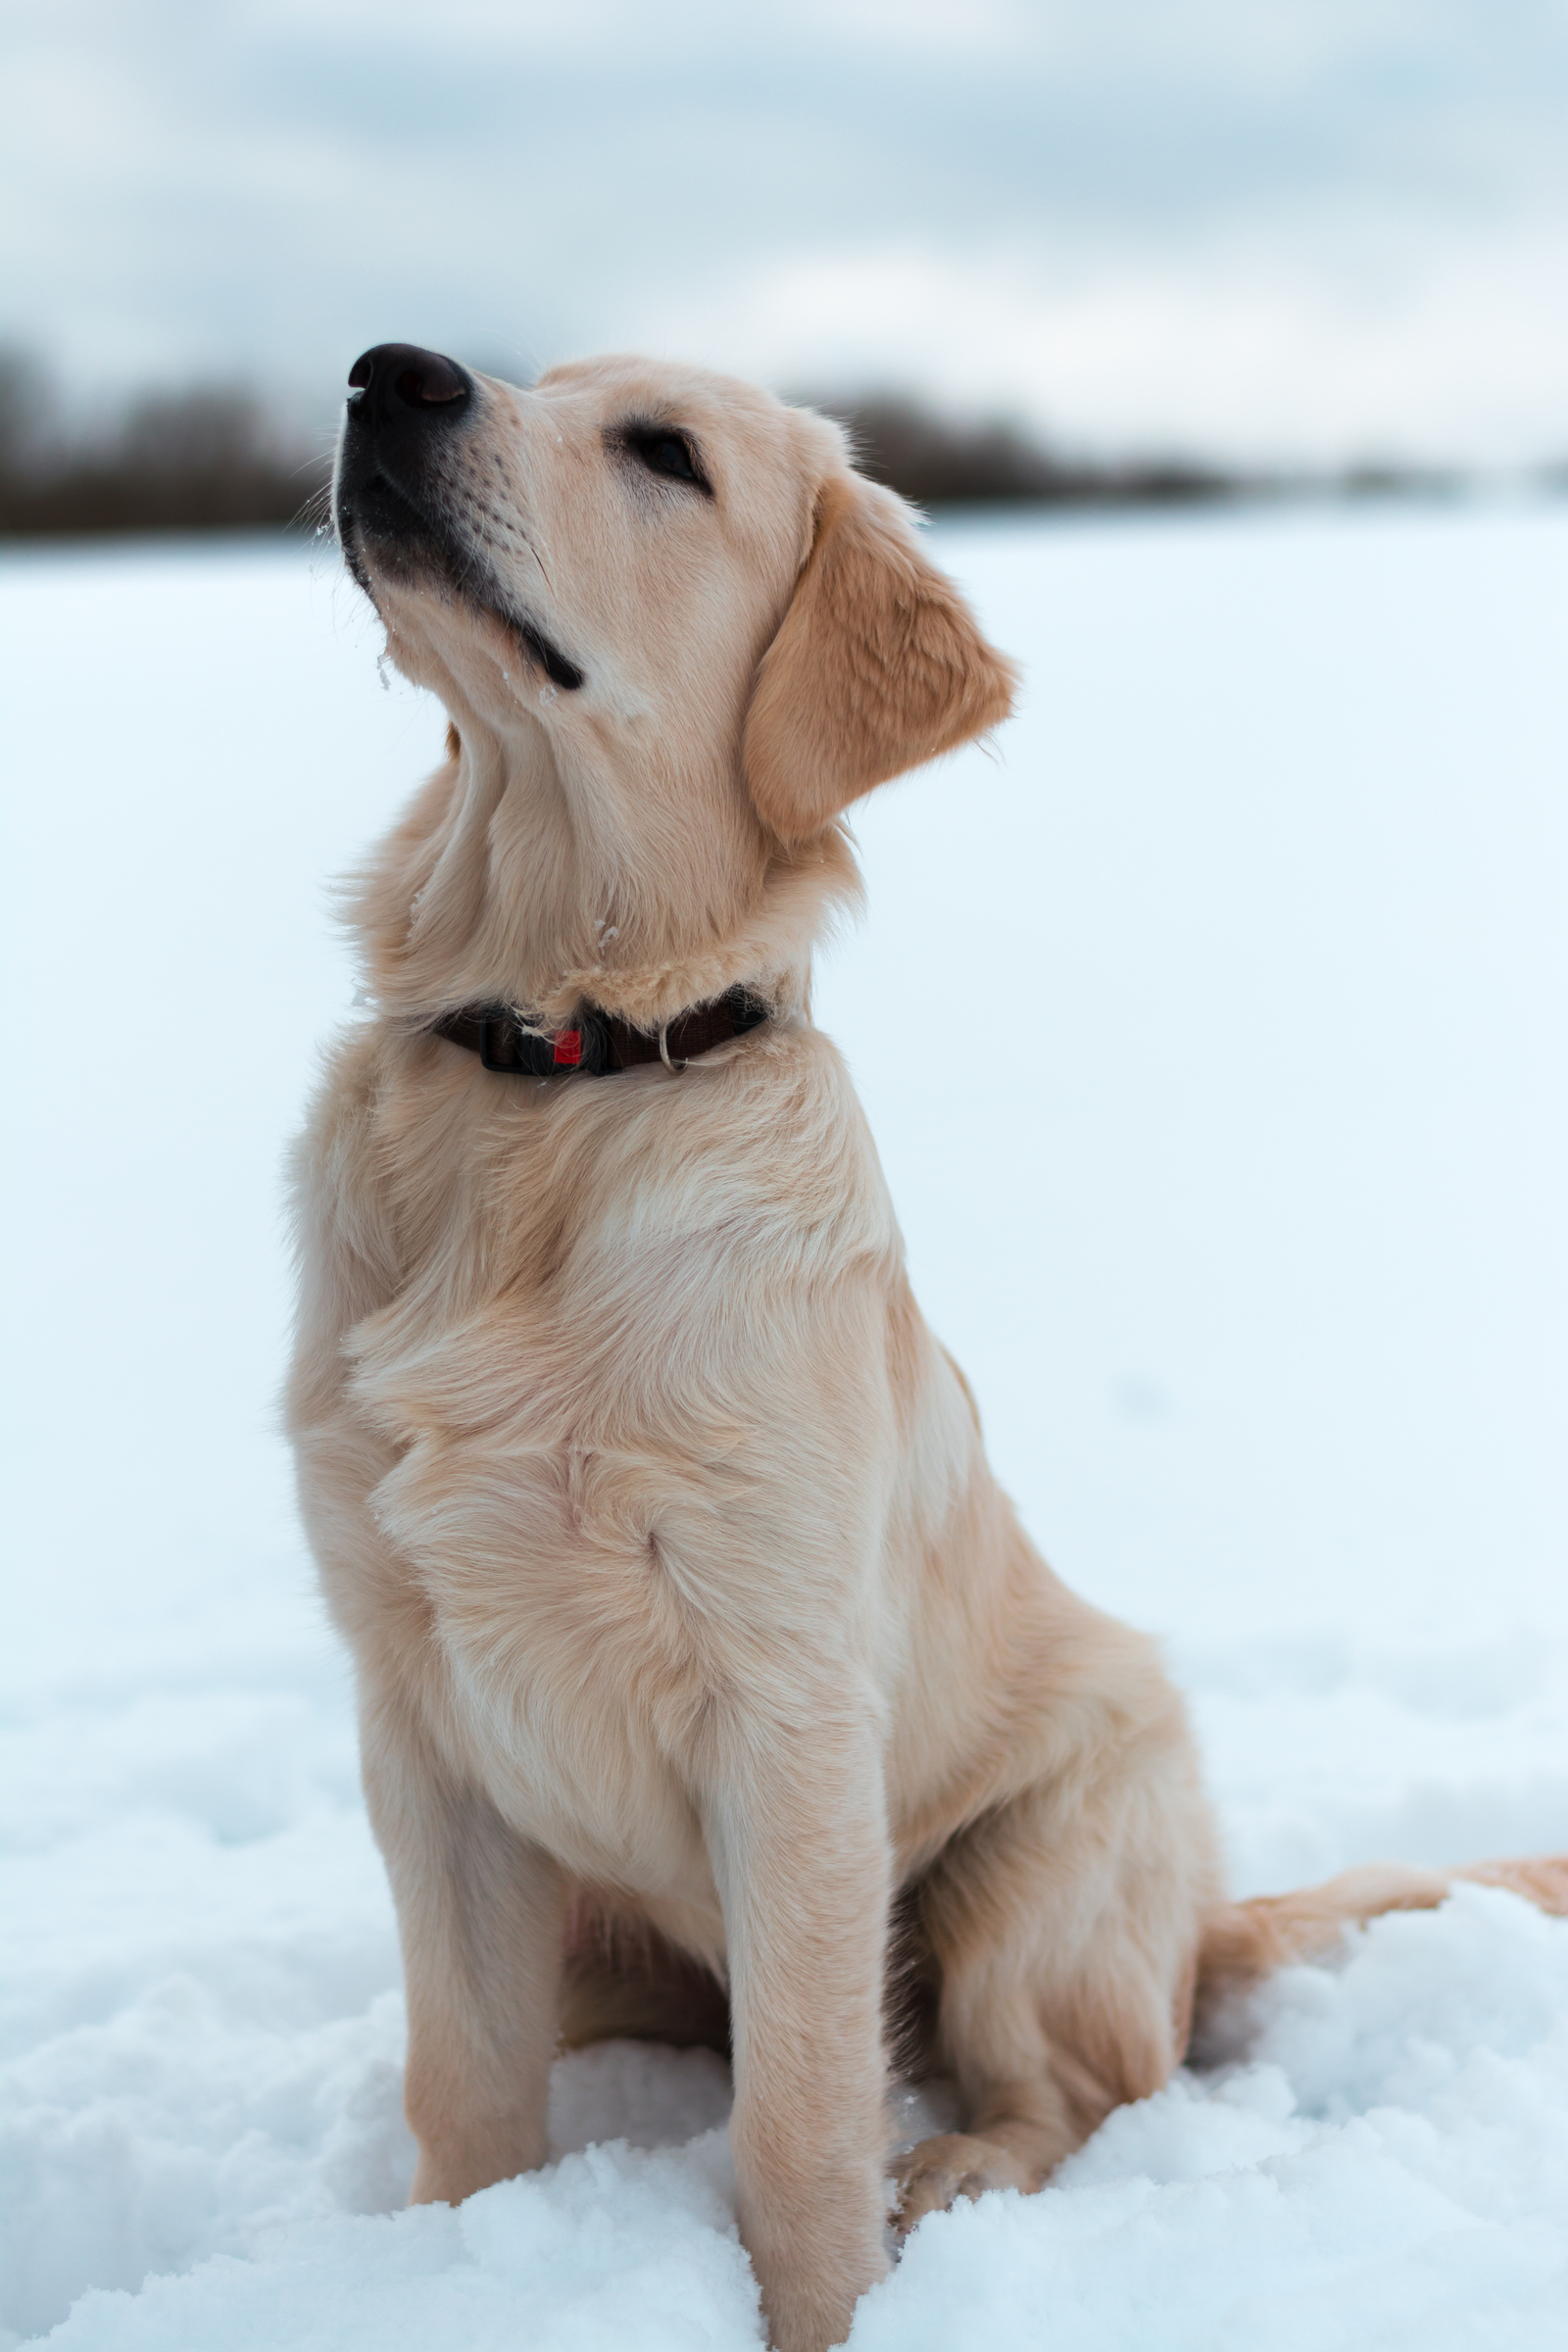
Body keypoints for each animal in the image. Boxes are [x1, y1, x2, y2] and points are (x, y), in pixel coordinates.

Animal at [285, 343, 1568, 2352]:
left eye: (664, 453)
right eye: (527, 376)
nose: (386, 374)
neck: (560, 1073)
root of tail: (1195, 1919)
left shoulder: (791, 1707)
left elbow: (804, 2118)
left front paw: (825, 2310)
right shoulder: (415, 1705)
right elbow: (466, 2084)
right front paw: (456, 2269)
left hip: (1033, 1856)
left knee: (1072, 2085)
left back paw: (957, 2173)